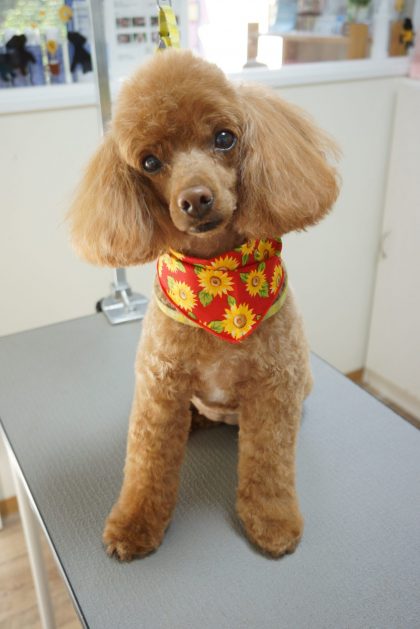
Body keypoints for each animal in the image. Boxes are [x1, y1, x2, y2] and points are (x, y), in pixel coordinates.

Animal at [69, 49, 339, 560]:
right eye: (150, 161)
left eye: (224, 138)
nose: (195, 199)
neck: (218, 281)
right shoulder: (158, 391)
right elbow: (146, 464)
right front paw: (134, 526)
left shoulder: (273, 389)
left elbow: (270, 464)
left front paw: (273, 523)